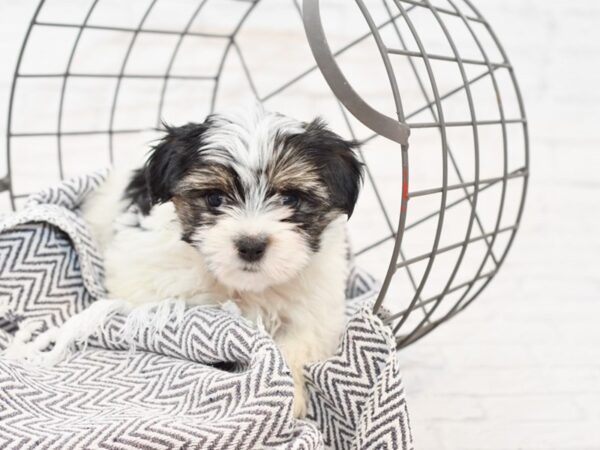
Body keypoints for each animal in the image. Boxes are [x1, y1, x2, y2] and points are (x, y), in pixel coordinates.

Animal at [11, 106, 364, 418]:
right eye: (215, 199)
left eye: (290, 199)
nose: (251, 245)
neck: (239, 287)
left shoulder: (315, 307)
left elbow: (298, 343)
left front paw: (292, 398)